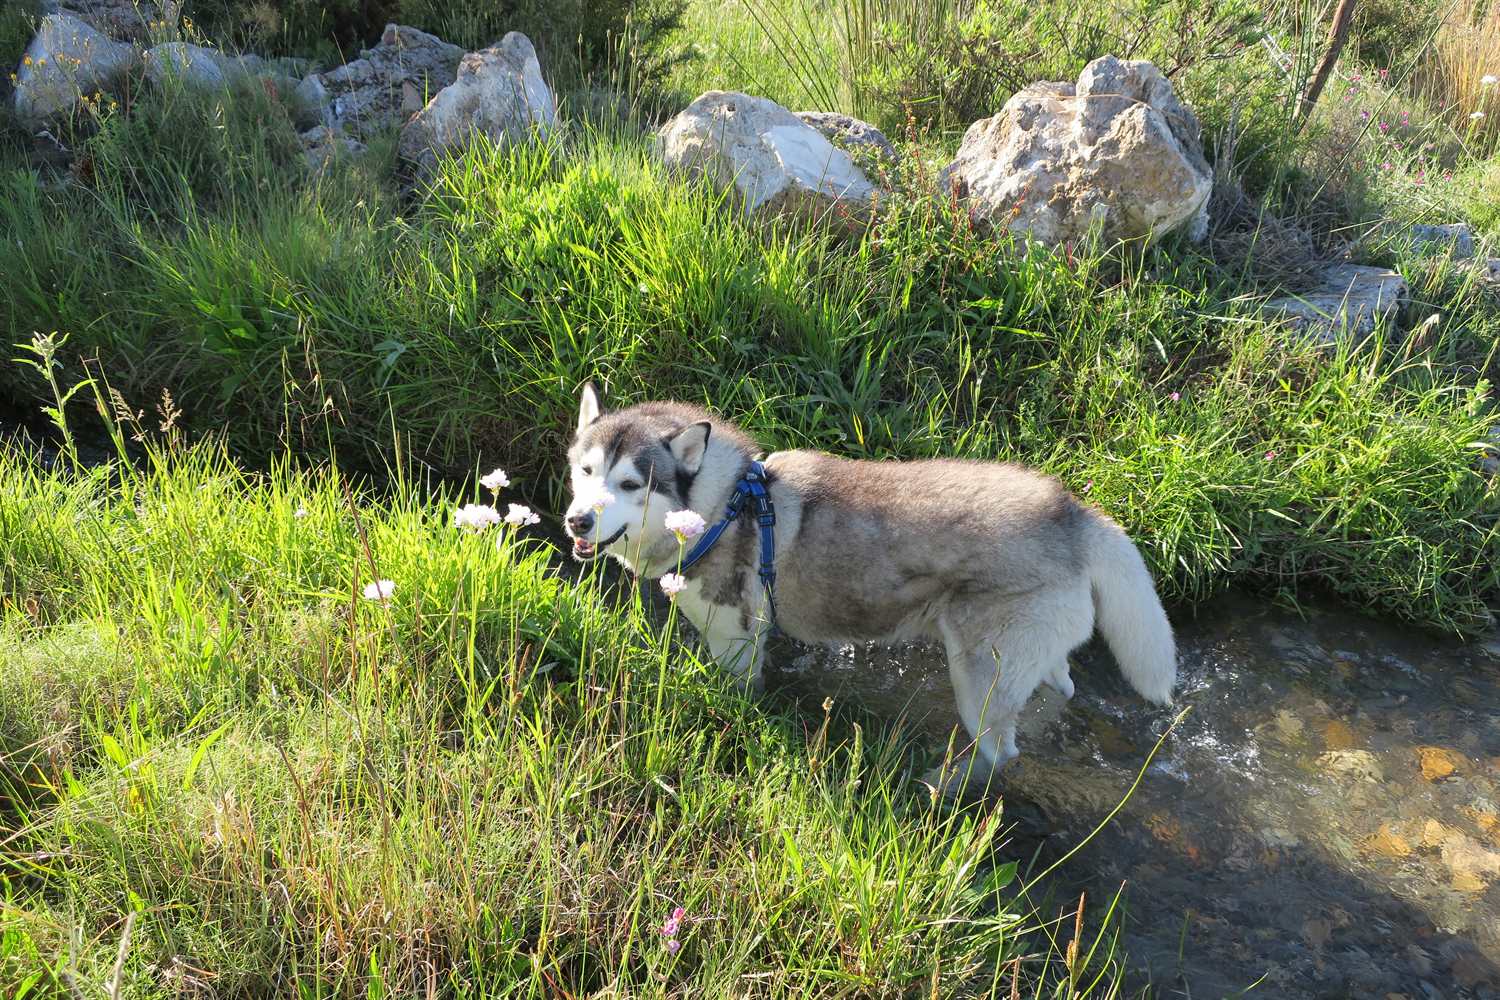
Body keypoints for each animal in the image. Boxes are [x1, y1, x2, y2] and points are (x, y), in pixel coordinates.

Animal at [561, 383, 1170, 779]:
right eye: (585, 472)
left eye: (631, 483)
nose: (577, 521)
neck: (721, 508)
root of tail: (1070, 510)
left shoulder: (737, 640)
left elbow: (736, 697)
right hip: (1028, 656)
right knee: (1060, 687)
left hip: (980, 679)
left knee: (998, 753)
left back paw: (938, 785)